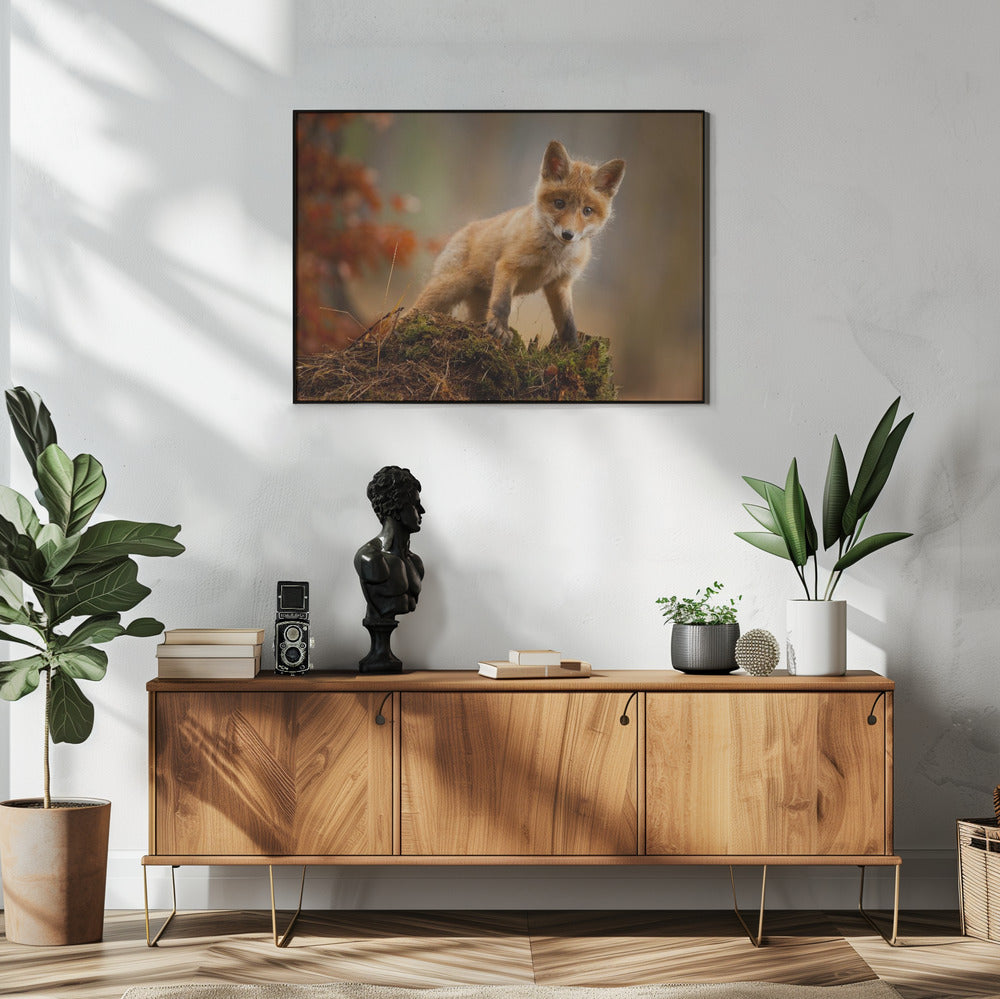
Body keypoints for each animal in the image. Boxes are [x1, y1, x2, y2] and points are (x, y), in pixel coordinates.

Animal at [411, 139, 626, 347]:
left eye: (587, 210)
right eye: (559, 203)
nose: (567, 234)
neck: (553, 257)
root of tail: (463, 229)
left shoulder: (560, 284)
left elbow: (567, 322)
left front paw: (572, 348)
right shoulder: (509, 266)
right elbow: (502, 304)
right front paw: (500, 329)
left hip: (477, 304)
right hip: (447, 288)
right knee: (413, 311)